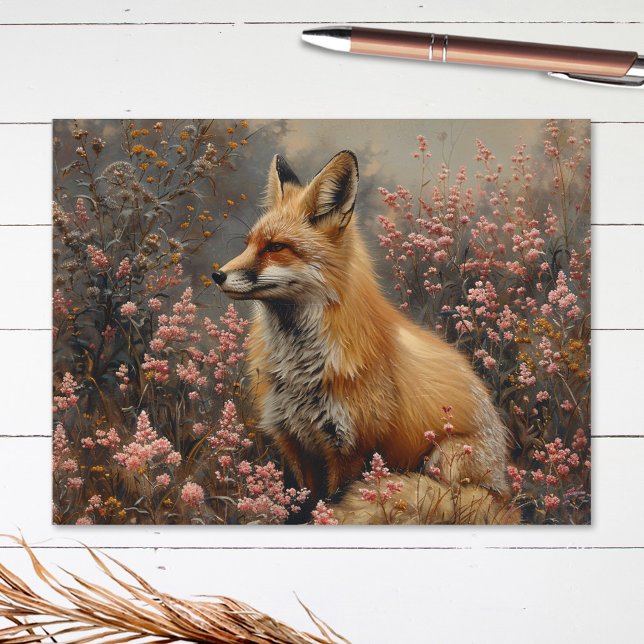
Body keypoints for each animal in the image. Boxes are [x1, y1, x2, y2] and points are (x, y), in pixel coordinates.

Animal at [212, 150, 513, 520]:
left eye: (276, 247)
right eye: (249, 244)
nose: (217, 275)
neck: (300, 367)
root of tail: (504, 495)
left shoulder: (351, 448)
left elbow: (333, 499)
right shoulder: (293, 440)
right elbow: (303, 502)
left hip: (447, 458)